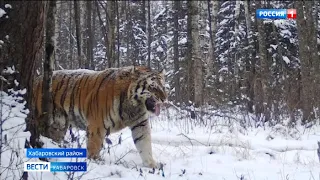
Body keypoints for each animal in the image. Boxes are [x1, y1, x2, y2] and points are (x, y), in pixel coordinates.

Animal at [31, 66, 168, 169]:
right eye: (152, 86)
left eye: (163, 86)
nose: (164, 99)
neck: (133, 106)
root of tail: (37, 79)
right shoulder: (97, 125)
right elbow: (94, 145)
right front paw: (95, 161)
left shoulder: (140, 123)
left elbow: (144, 144)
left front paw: (151, 164)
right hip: (41, 118)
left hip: (58, 126)